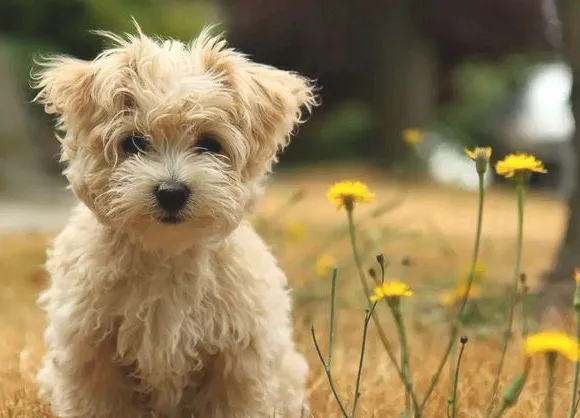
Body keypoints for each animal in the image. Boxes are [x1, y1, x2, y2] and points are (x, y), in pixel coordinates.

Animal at [31, 23, 318, 418]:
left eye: (210, 143)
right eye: (134, 142)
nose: (171, 191)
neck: (165, 254)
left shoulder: (237, 358)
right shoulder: (91, 351)